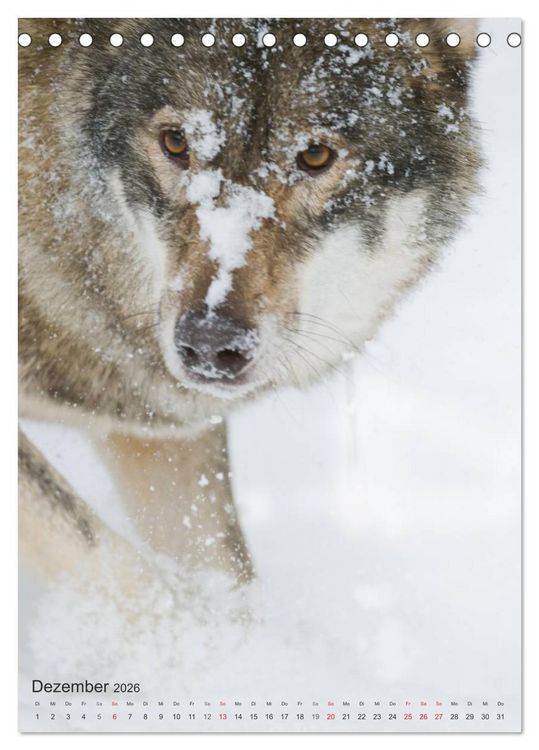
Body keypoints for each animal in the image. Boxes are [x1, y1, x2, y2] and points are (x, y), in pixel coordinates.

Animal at [19, 18, 479, 587]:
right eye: (176, 142)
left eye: (315, 155)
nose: (209, 345)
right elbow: (123, 569)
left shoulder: (165, 437)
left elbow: (227, 577)